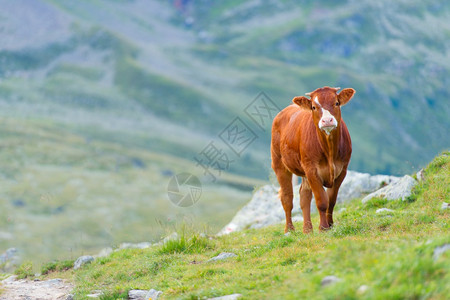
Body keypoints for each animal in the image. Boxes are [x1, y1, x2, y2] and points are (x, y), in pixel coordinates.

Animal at [270, 85, 356, 233]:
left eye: (336, 103)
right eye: (314, 107)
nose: (327, 121)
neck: (329, 150)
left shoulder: (342, 170)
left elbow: (331, 200)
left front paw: (330, 225)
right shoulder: (311, 169)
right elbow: (321, 201)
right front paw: (323, 227)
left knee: (304, 195)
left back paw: (307, 230)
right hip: (279, 163)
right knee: (287, 197)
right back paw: (289, 230)